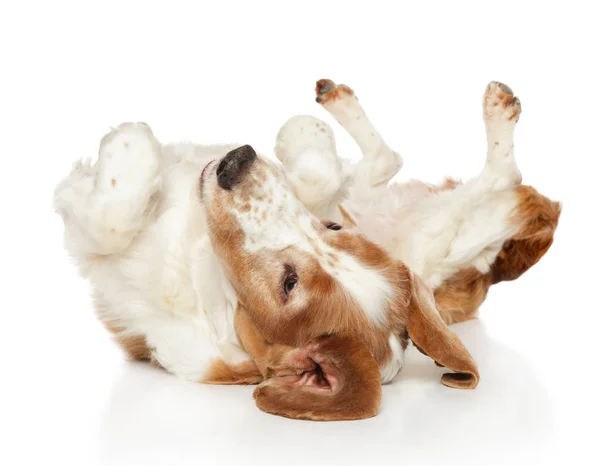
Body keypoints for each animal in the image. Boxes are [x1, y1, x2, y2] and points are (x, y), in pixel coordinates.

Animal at [54, 80, 560, 422]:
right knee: (402, 164)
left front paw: (127, 146)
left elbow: (110, 220)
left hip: (446, 237)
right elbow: (316, 177)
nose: (237, 160)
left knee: (502, 178)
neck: (209, 276)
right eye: (332, 227)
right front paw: (304, 143)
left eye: (289, 283)